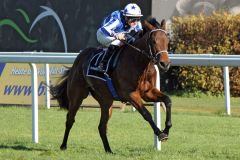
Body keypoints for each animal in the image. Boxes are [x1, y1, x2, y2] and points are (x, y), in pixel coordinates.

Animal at [49, 17, 172, 152]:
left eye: (167, 40)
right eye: (154, 41)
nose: (165, 64)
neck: (138, 63)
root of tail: (79, 58)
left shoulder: (148, 92)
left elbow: (168, 100)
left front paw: (166, 129)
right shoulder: (130, 95)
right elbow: (146, 113)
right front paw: (160, 133)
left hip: (106, 101)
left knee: (102, 126)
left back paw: (109, 150)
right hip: (77, 96)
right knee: (70, 120)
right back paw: (63, 145)